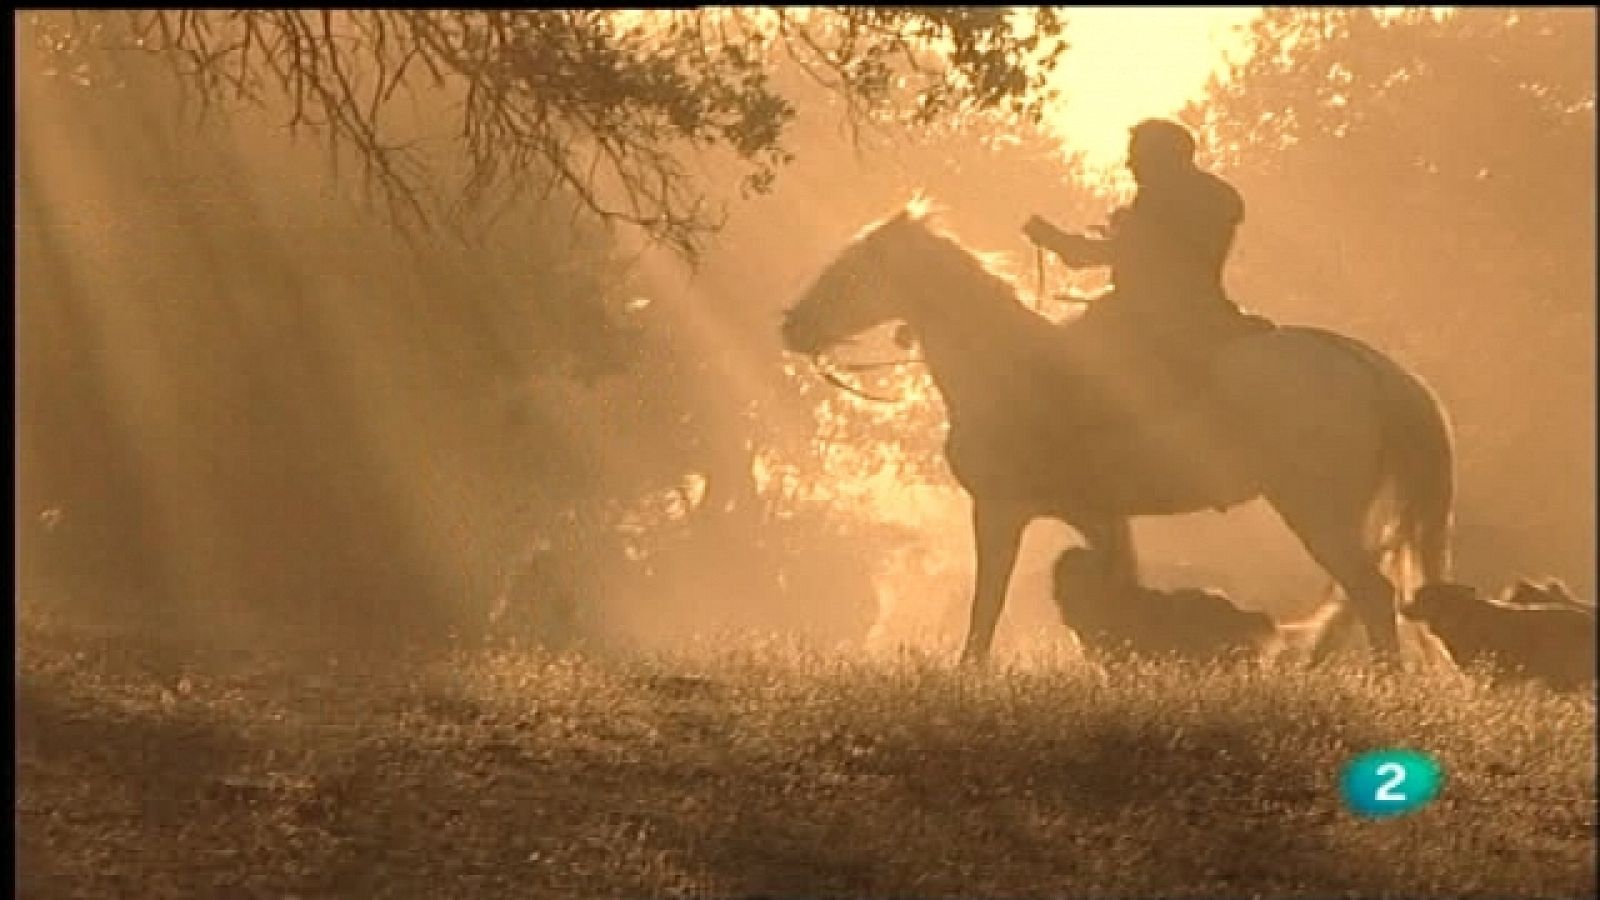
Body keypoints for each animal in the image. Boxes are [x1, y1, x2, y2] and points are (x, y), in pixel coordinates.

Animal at [780, 204, 1459, 666]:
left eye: (850, 271)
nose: (793, 325)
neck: (1003, 361)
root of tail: (1363, 365)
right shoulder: (1100, 517)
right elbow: (1114, 596)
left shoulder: (1001, 510)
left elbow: (988, 603)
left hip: (1317, 511)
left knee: (1371, 593)